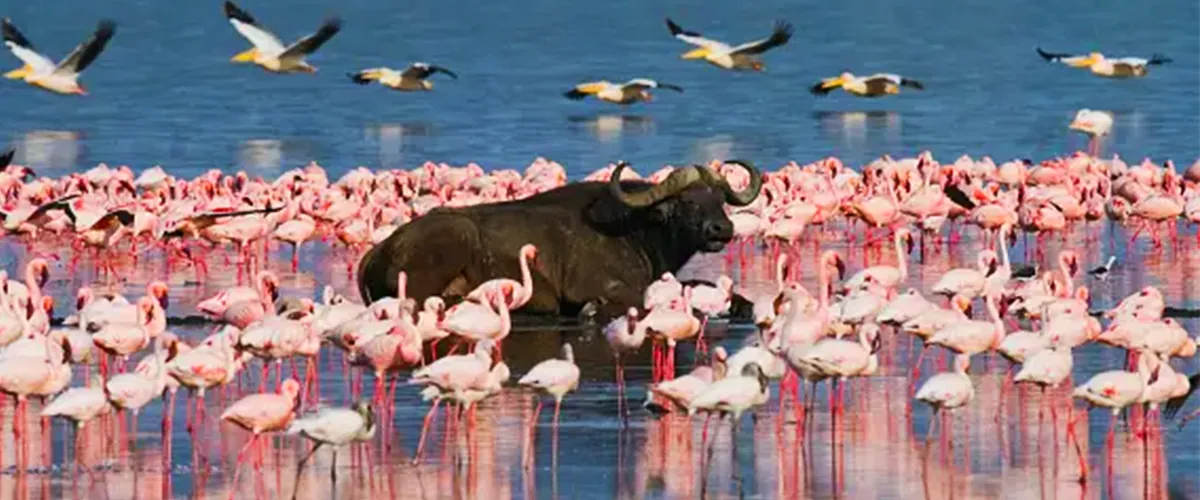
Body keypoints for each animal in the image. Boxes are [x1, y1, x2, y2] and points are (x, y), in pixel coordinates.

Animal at [356, 160, 763, 320]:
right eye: (687, 202)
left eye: (719, 199)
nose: (721, 230)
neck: (635, 230)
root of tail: (378, 251)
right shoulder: (600, 287)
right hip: (454, 239)